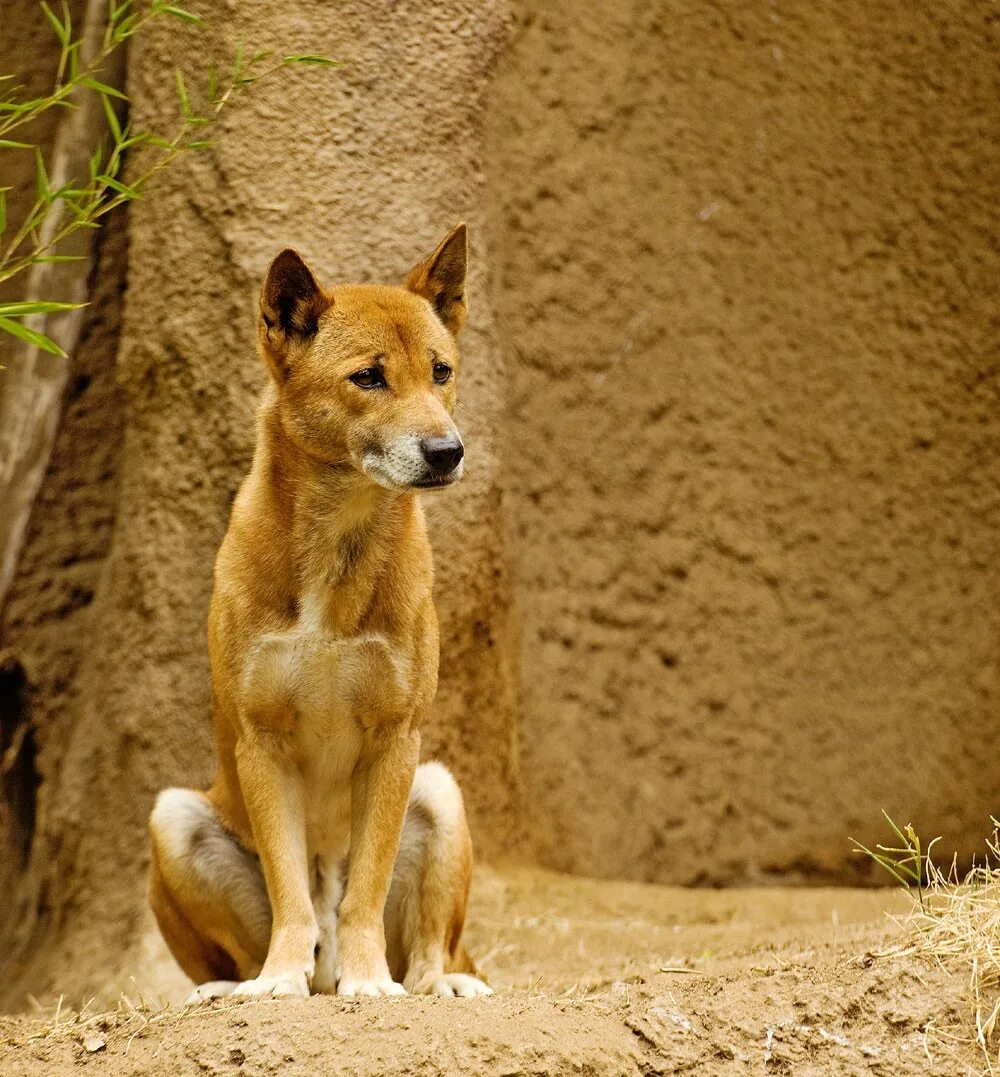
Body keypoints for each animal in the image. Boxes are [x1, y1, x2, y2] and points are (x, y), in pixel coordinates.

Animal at [148, 225, 490, 999]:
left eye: (441, 371)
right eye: (368, 377)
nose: (446, 450)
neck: (340, 539)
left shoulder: (398, 739)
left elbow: (364, 889)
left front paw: (371, 981)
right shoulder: (262, 741)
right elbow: (291, 893)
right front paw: (279, 977)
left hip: (442, 791)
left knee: (435, 946)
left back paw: (431, 982)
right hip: (173, 817)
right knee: (252, 941)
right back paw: (238, 985)